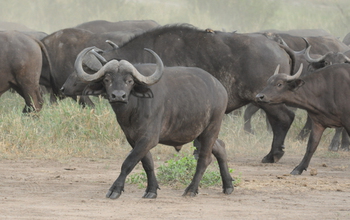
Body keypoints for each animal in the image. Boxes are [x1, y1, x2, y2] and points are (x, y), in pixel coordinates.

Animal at [74, 47, 232, 199]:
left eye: (129, 81)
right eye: (107, 79)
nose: (118, 96)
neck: (133, 107)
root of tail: (221, 89)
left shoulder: (149, 138)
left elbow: (129, 162)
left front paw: (115, 190)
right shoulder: (133, 138)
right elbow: (147, 163)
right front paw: (151, 190)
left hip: (211, 129)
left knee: (204, 159)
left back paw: (191, 190)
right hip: (200, 132)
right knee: (221, 147)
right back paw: (228, 186)